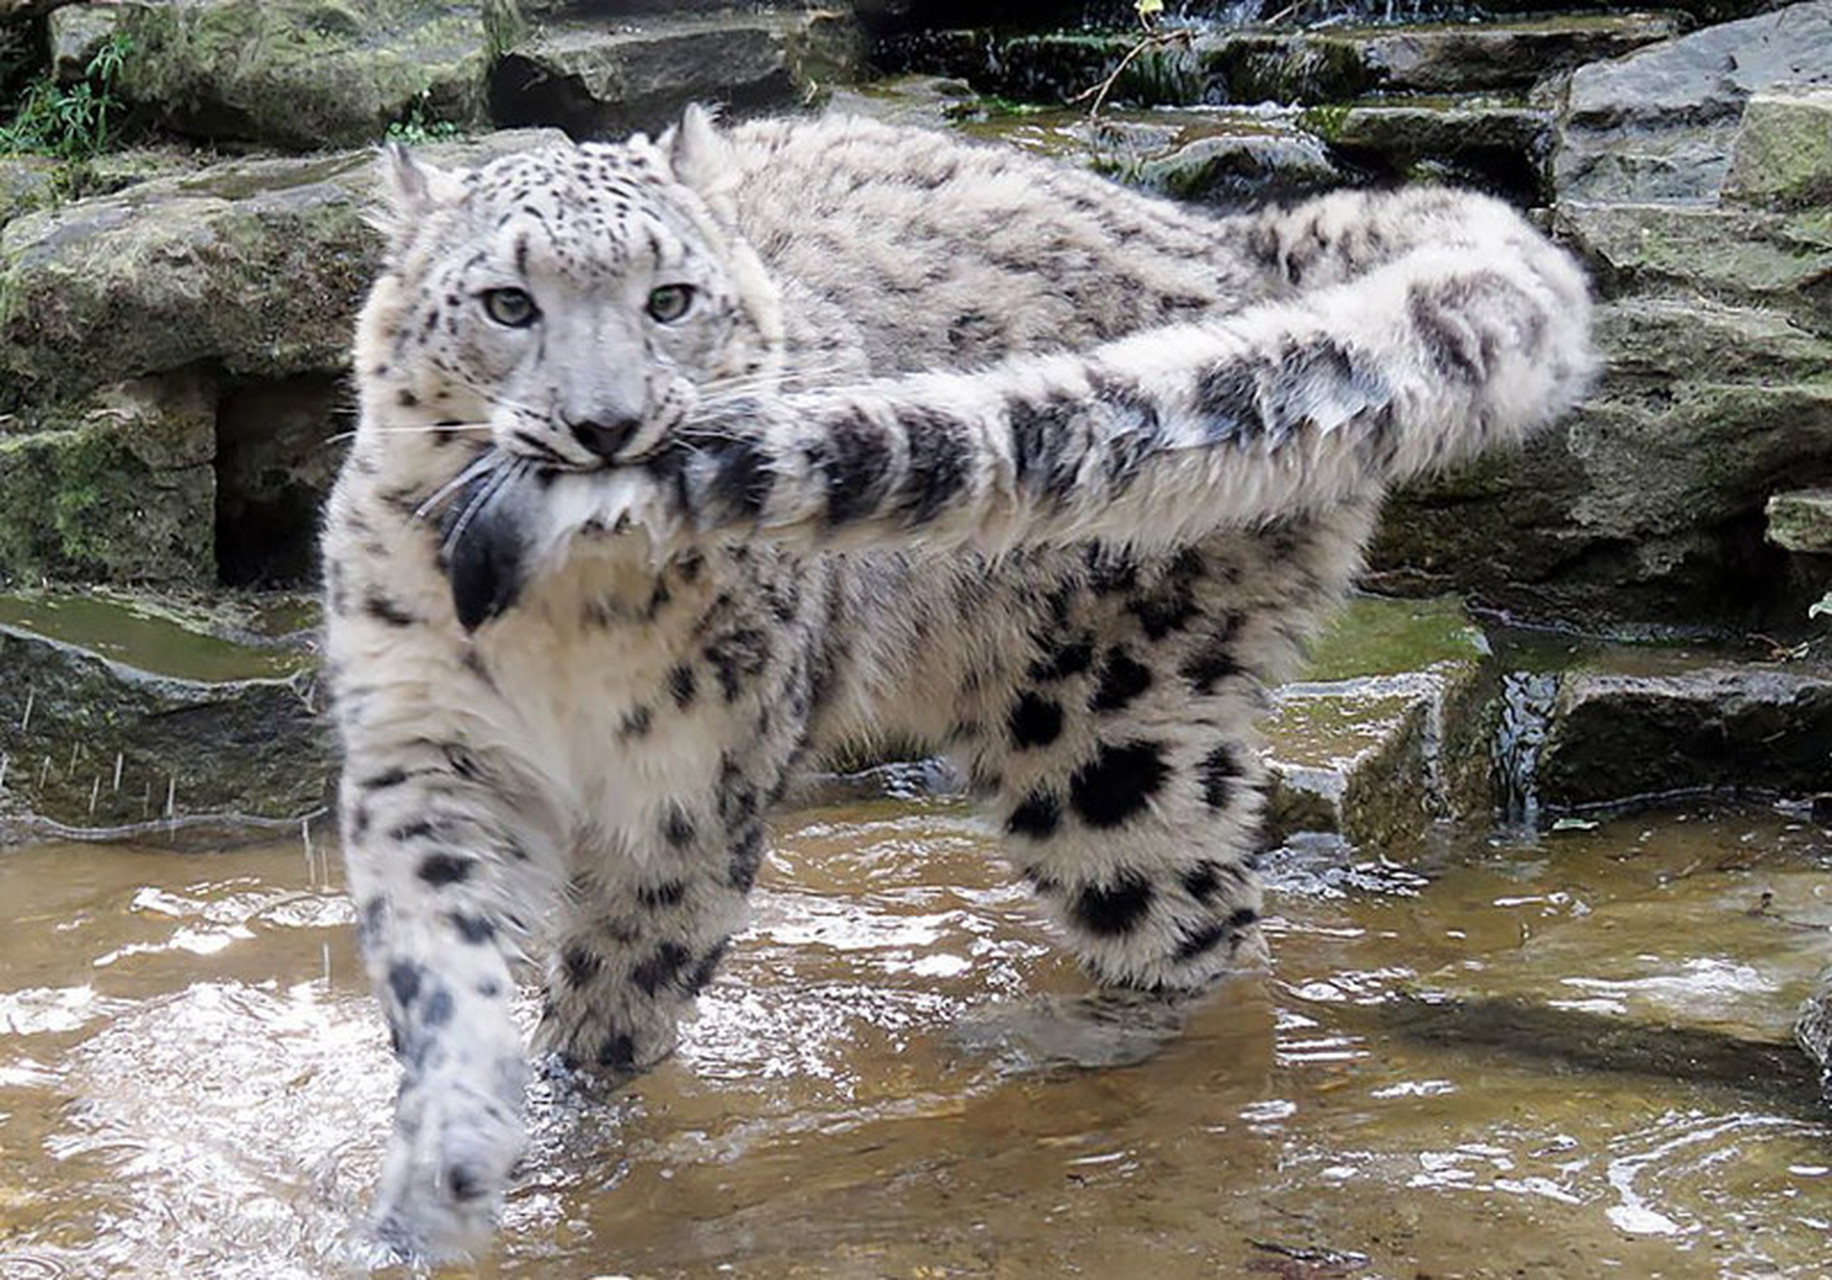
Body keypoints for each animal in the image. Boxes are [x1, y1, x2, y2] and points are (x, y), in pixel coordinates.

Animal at [322, 105, 1597, 1259]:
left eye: (668, 298)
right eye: (507, 302)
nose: (605, 424)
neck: (563, 619)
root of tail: (1234, 238)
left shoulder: (686, 788)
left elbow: (623, 975)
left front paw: (577, 1105)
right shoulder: (425, 741)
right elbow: (438, 950)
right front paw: (446, 1154)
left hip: (1103, 722)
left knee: (1192, 911)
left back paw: (1060, 1036)